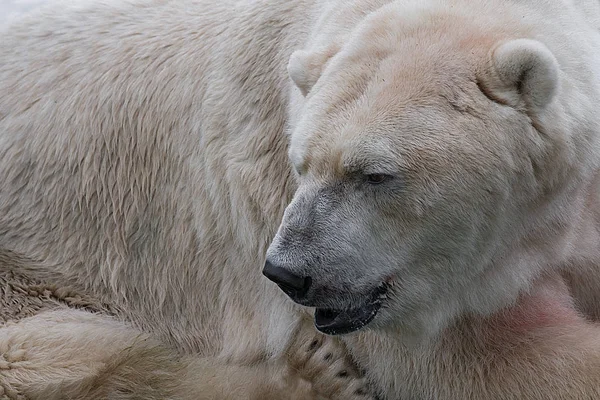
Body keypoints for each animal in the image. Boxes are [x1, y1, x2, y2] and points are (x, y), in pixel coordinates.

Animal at [2, 0, 600, 398]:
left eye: (374, 174)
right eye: (301, 164)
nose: (287, 273)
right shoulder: (438, 296)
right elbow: (505, 366)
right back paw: (313, 375)